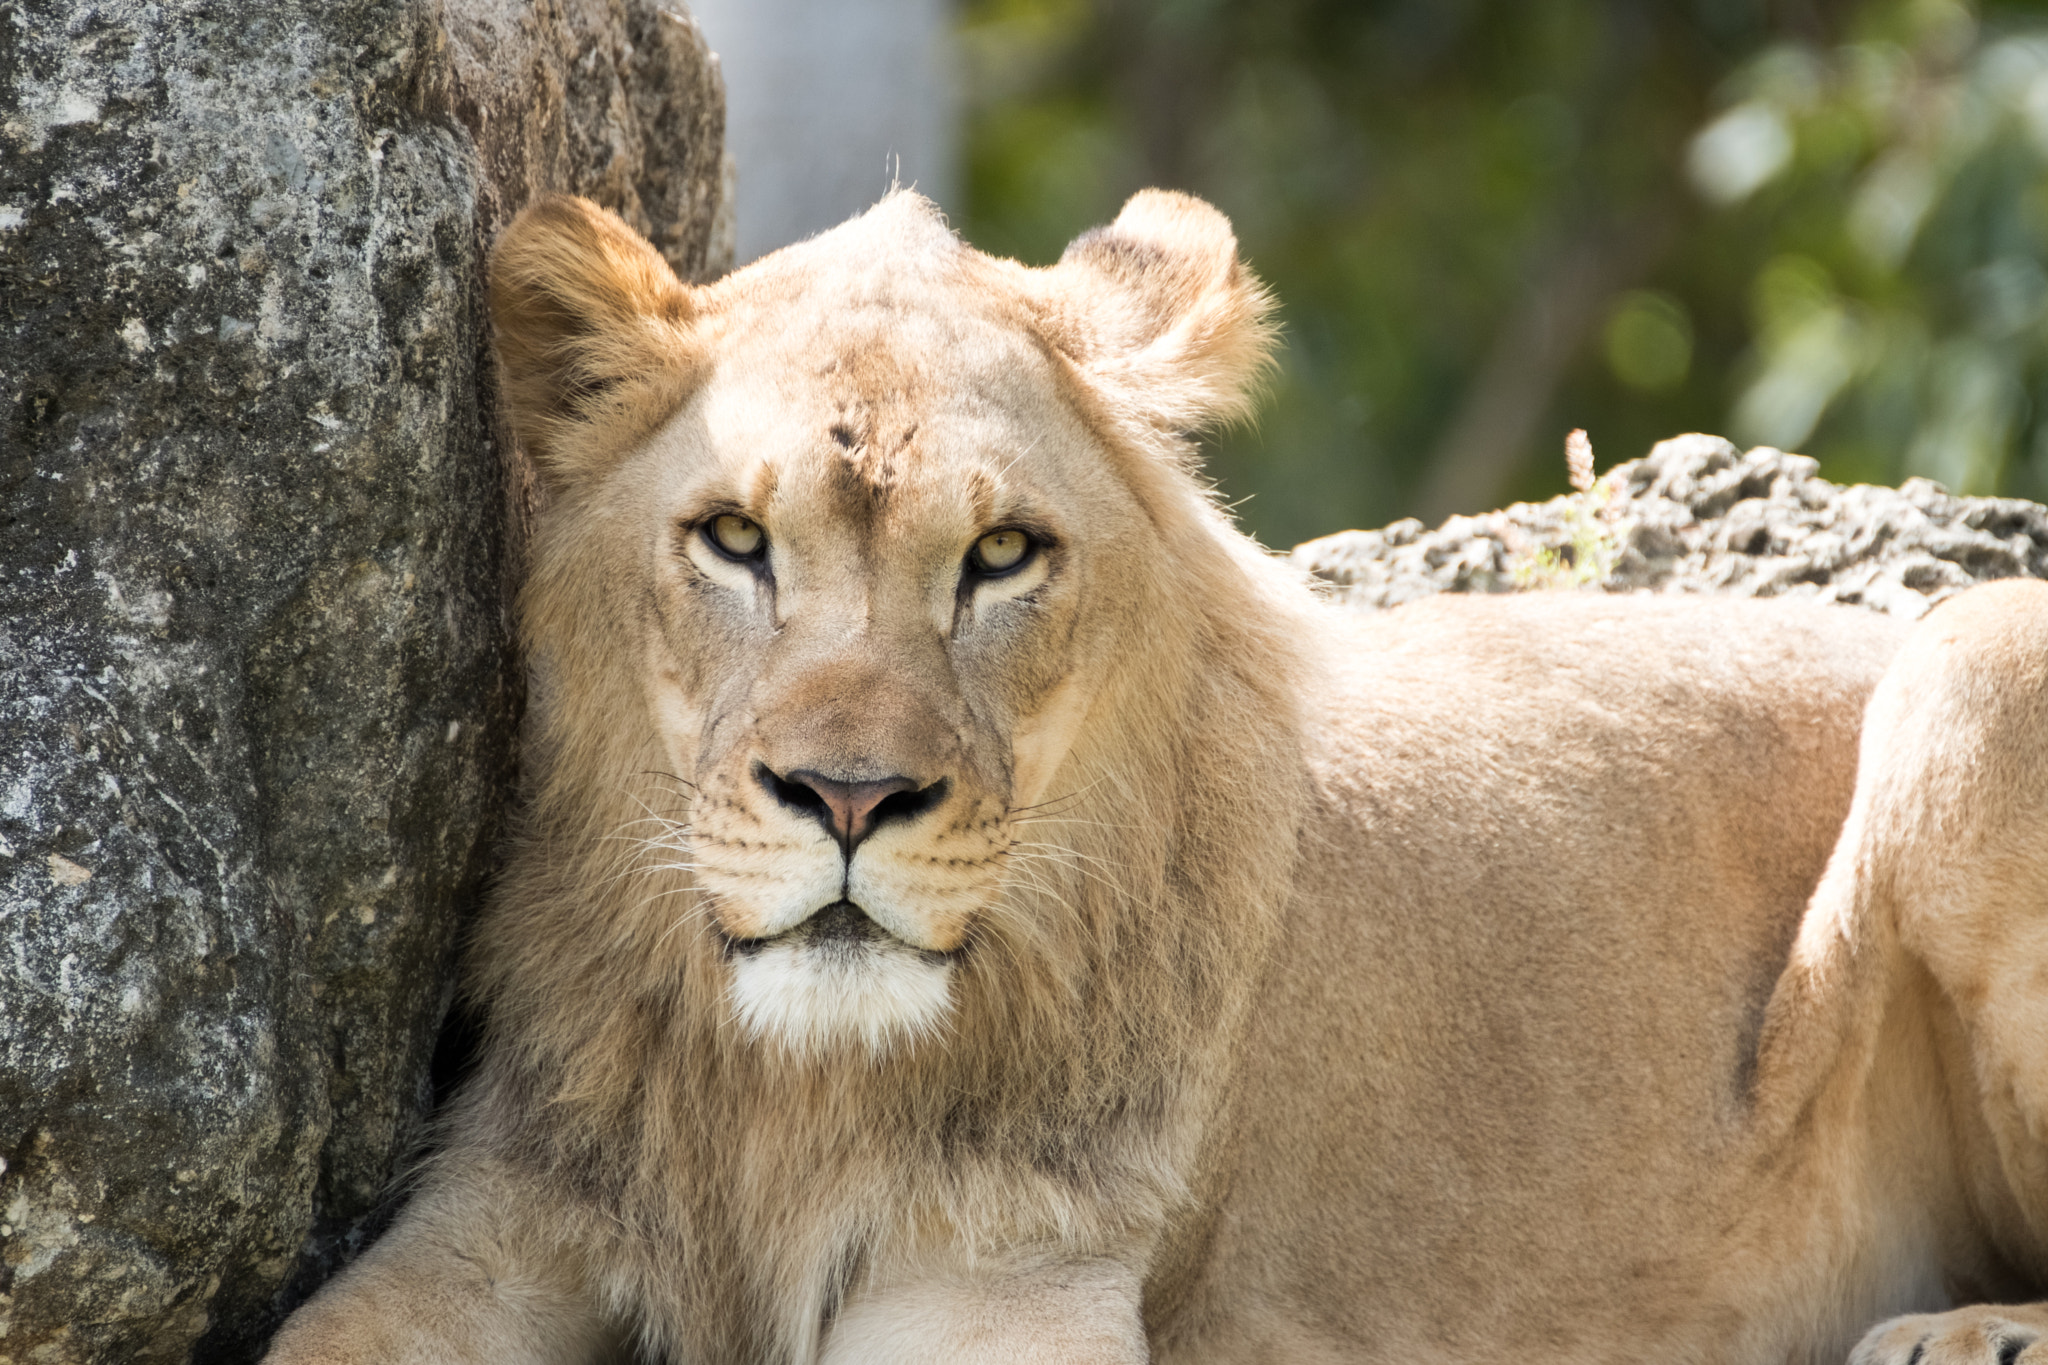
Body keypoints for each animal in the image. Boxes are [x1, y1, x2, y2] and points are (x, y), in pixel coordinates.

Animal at [264, 187, 2048, 1358]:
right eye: (730, 540)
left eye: (1001, 554)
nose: (849, 801)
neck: (787, 1089)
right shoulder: (488, 1228)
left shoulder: (1012, 1274)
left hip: (1973, 661)